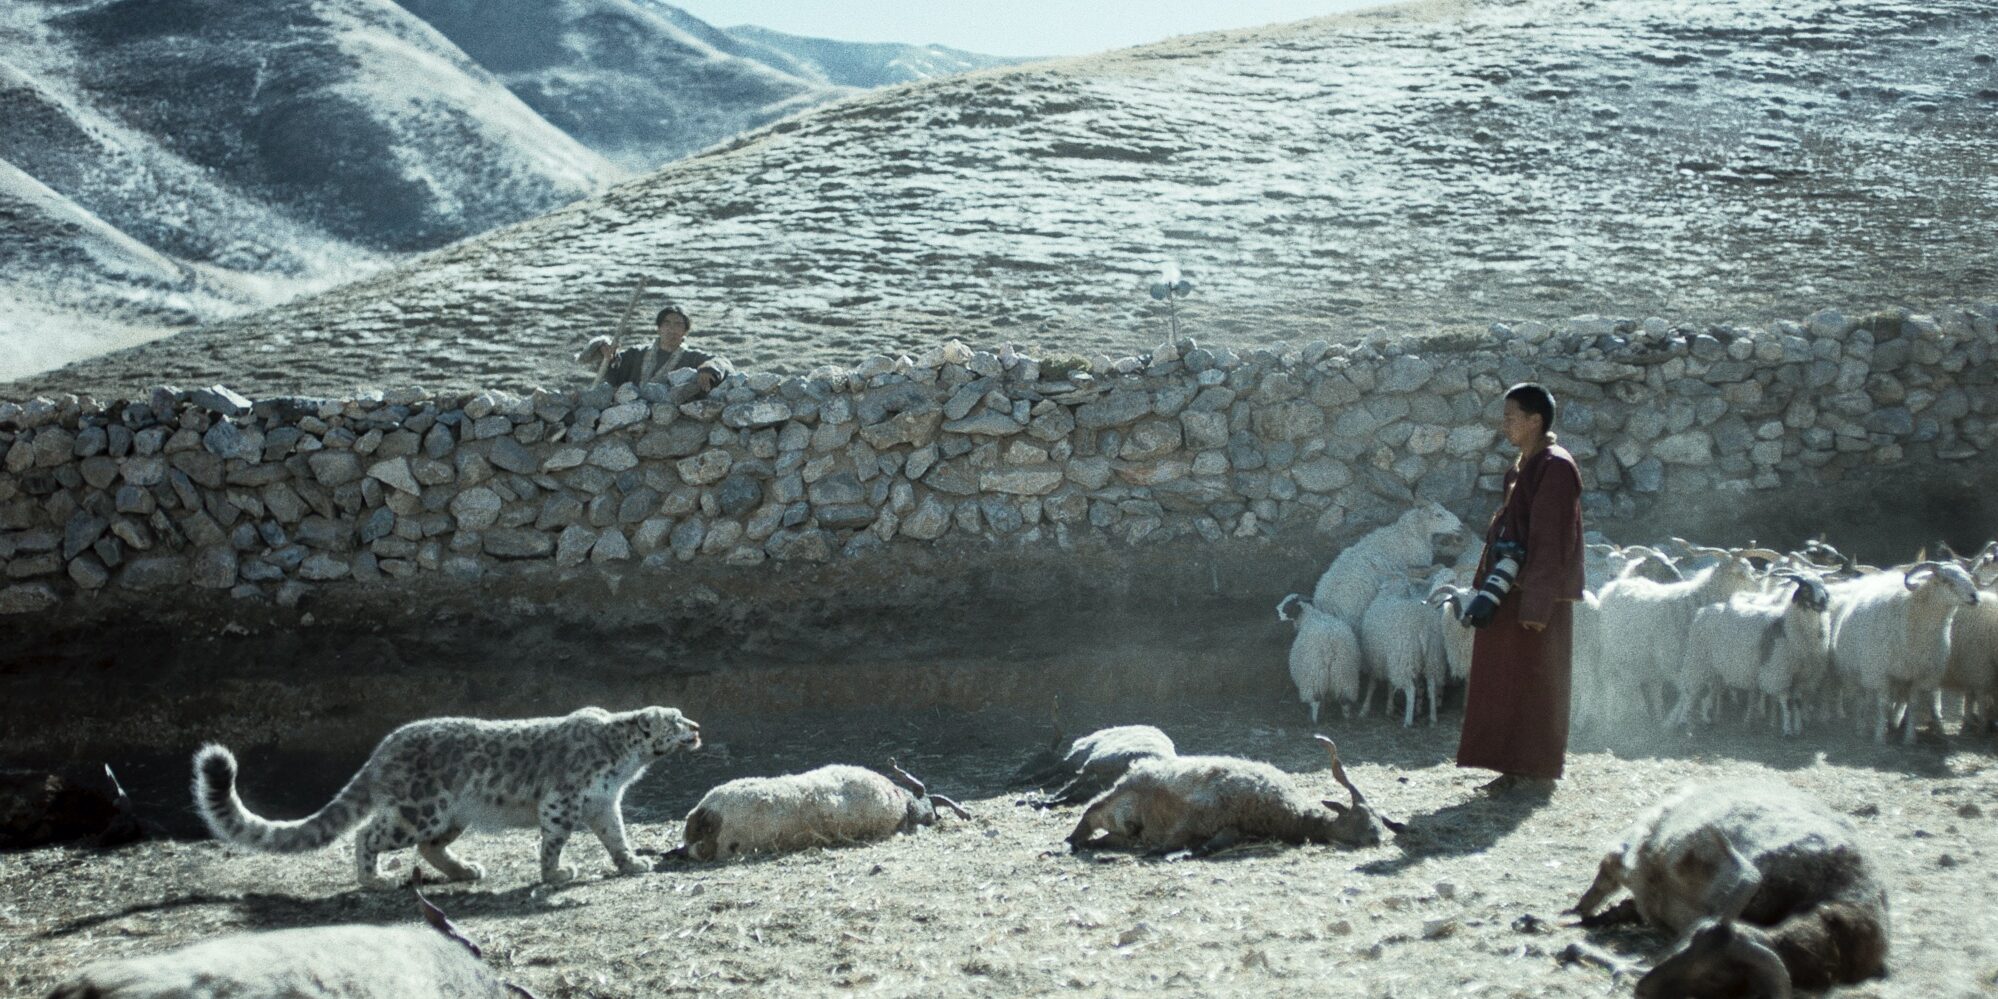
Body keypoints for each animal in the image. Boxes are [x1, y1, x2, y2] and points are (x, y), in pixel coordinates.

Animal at [188, 707, 703, 887]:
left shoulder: (602, 804)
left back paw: (465, 870)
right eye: (675, 718)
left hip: (449, 817)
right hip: (420, 810)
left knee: (428, 847)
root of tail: (384, 746)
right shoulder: (563, 801)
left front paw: (632, 862)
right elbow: (554, 841)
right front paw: (555, 874)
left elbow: (615, 836)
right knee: (367, 835)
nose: (697, 726)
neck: (625, 762)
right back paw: (375, 880)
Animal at [1278, 587, 1358, 723]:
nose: (1277, 610)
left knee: (1315, 701)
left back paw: (1314, 721)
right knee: (1345, 701)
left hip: (1314, 676)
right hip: (1345, 675)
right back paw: (1346, 719)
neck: (1310, 616)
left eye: (1288, 605)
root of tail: (1330, 646)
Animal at [1670, 579, 1830, 735]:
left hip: (1715, 667)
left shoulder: (1801, 675)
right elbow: (1787, 702)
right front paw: (1788, 730)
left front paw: (1798, 727)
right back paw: (1683, 720)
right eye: (1806, 590)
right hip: (1698, 659)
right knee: (1690, 691)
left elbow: (1797, 701)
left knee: (1710, 691)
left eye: (1823, 588)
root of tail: (1702, 612)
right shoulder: (1779, 673)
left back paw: (1707, 719)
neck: (1788, 626)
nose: (1823, 602)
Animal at [1830, 563, 1982, 743]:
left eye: (1968, 576)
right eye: (1945, 580)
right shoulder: (1882, 674)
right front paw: (1880, 737)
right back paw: (1861, 727)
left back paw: (1892, 724)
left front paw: (1909, 738)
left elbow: (1913, 706)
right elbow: (1882, 704)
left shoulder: (1918, 676)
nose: (1975, 597)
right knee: (1862, 698)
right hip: (1860, 671)